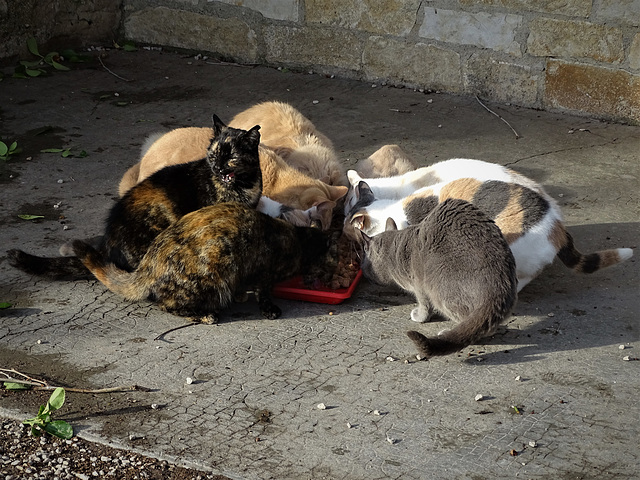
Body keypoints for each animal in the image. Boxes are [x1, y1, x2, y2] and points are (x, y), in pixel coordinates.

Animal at [72, 202, 336, 322]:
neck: (299, 239)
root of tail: (148, 263)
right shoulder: (264, 271)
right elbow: (263, 292)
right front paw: (268, 307)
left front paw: (241, 295)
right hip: (211, 276)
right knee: (166, 304)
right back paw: (205, 315)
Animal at [358, 197, 516, 358]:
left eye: (364, 259)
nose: (362, 270)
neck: (395, 253)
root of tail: (499, 285)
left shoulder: (419, 285)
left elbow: (424, 305)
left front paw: (419, 316)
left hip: (440, 292)